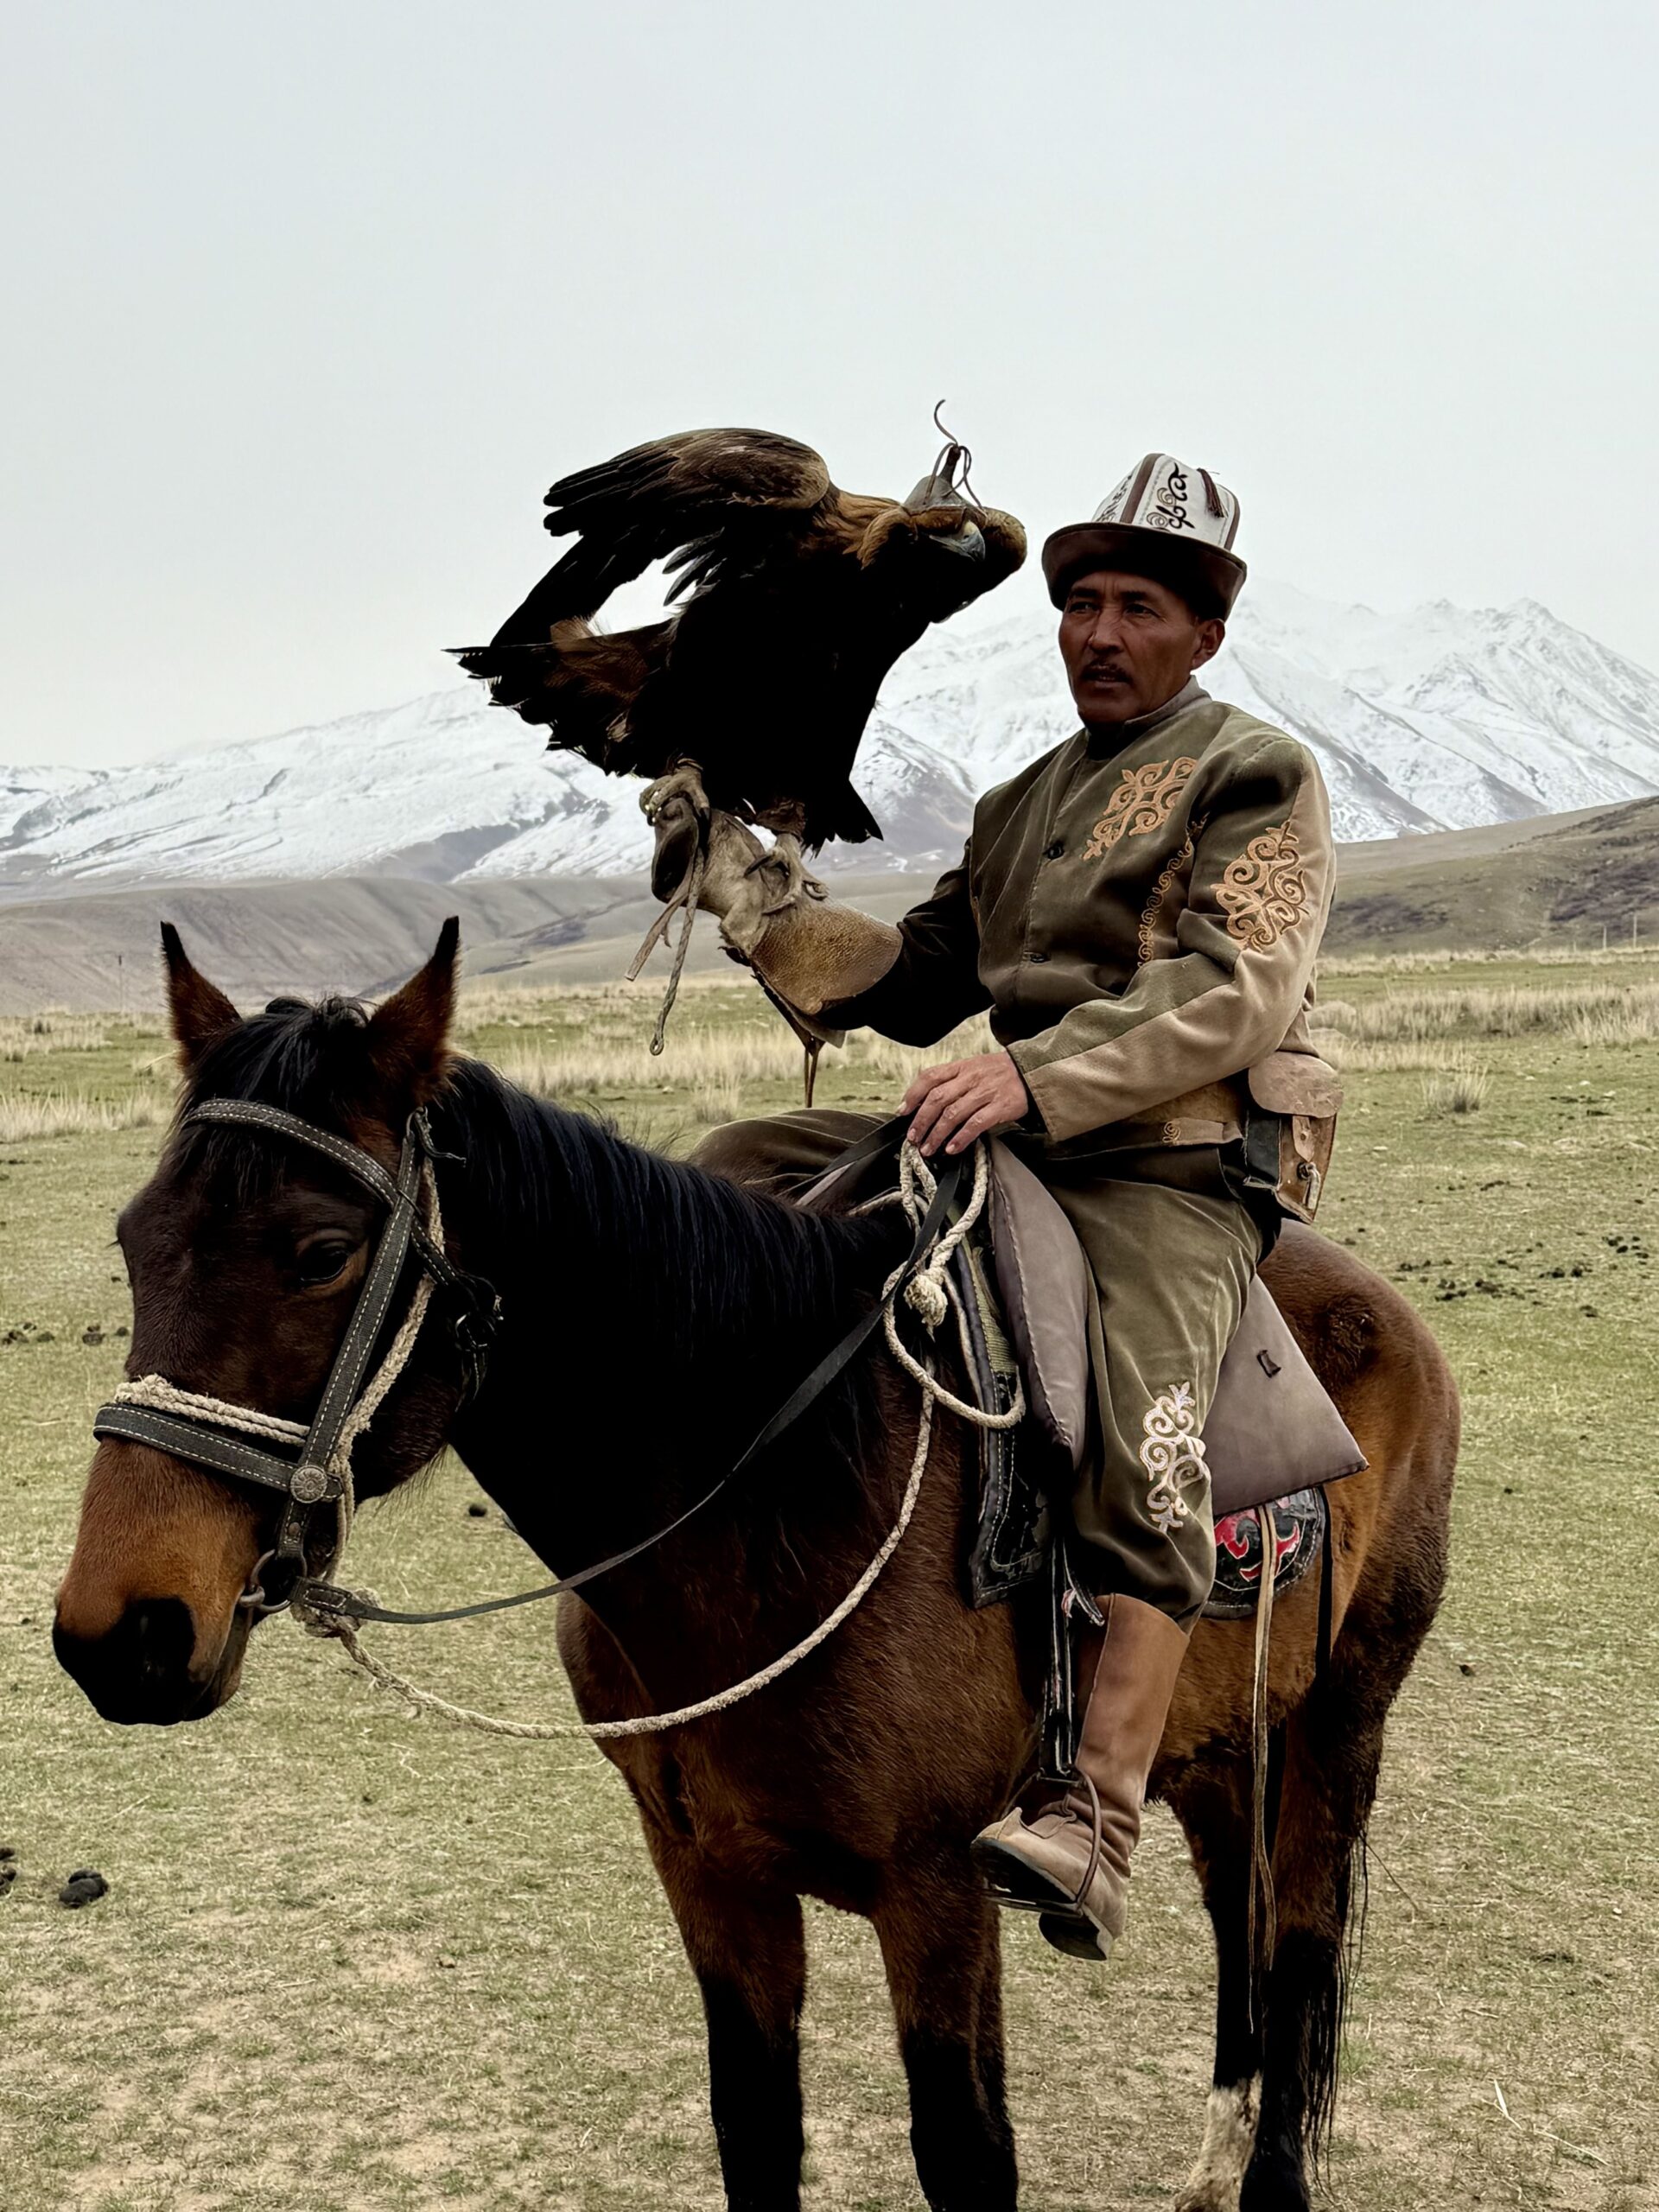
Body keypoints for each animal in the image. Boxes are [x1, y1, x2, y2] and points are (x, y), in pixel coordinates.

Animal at [54, 923, 1457, 2212]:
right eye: (129, 1238)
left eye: (319, 1253)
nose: (117, 1632)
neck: (771, 1507)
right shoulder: (709, 1873)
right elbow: (754, 2127)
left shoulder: (938, 1891)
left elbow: (966, 2154)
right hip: (1225, 1743)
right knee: (1243, 1924)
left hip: (1341, 1728)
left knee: (1300, 1950)